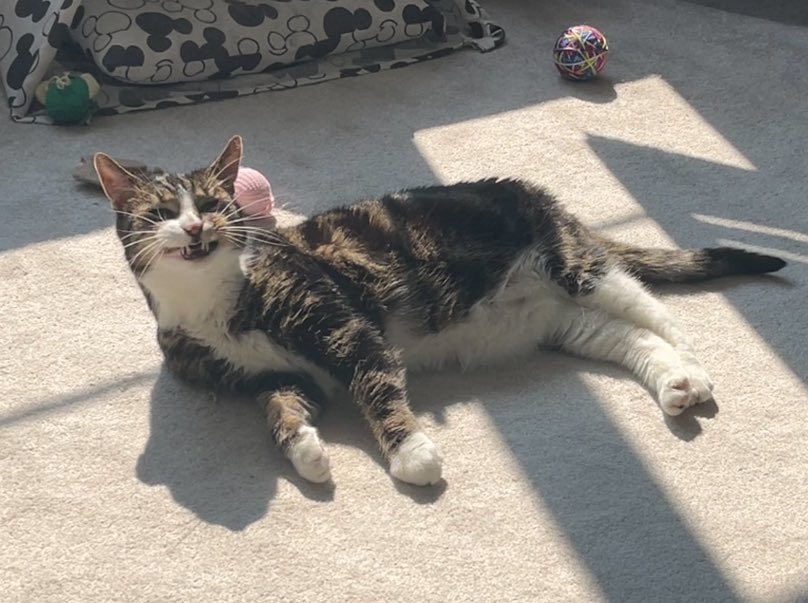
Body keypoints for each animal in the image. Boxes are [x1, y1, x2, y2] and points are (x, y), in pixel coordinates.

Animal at [91, 136, 784, 486]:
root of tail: (553, 204)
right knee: (631, 340)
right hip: (564, 321)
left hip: (575, 268)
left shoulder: (342, 326)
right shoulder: (271, 376)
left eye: (214, 202)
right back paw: (675, 384)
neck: (209, 300)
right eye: (160, 213)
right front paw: (307, 453)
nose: (196, 226)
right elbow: (279, 410)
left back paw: (695, 370)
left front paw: (411, 455)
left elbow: (375, 386)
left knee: (655, 313)